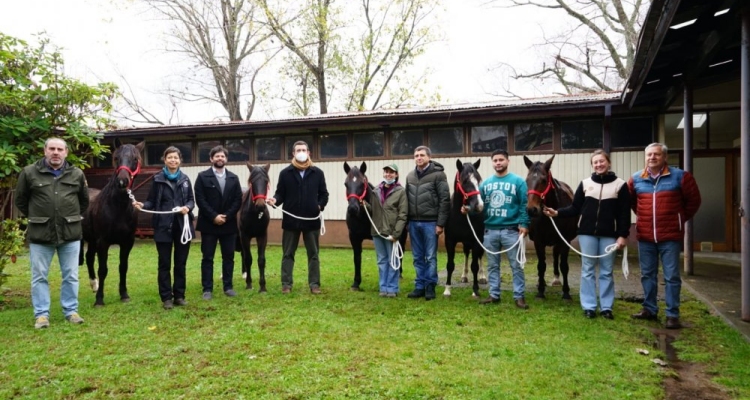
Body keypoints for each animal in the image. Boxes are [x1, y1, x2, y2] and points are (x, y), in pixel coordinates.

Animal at [81, 139, 145, 304]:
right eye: (116, 158)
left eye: (135, 159)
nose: (122, 181)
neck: (118, 208)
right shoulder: (103, 242)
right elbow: (103, 269)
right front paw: (99, 300)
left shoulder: (127, 242)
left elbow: (123, 267)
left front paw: (124, 295)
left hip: (92, 240)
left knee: (89, 258)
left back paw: (94, 285)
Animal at [236, 163, 272, 294]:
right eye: (252, 181)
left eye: (266, 181)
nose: (260, 205)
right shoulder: (245, 236)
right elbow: (248, 259)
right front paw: (249, 284)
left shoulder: (262, 236)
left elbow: (261, 260)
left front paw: (262, 286)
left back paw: (245, 273)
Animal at [446, 159, 488, 296]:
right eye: (464, 181)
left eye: (478, 180)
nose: (479, 205)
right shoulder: (450, 241)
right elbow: (450, 265)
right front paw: (447, 289)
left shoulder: (475, 240)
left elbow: (474, 266)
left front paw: (475, 290)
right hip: (465, 242)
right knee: (466, 253)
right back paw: (464, 276)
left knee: (480, 256)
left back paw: (482, 277)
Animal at [524, 156, 580, 300]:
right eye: (527, 180)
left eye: (544, 180)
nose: (532, 210)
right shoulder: (538, 241)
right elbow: (541, 265)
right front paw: (540, 291)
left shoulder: (564, 240)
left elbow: (564, 265)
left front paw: (566, 293)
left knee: (555, 256)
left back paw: (556, 279)